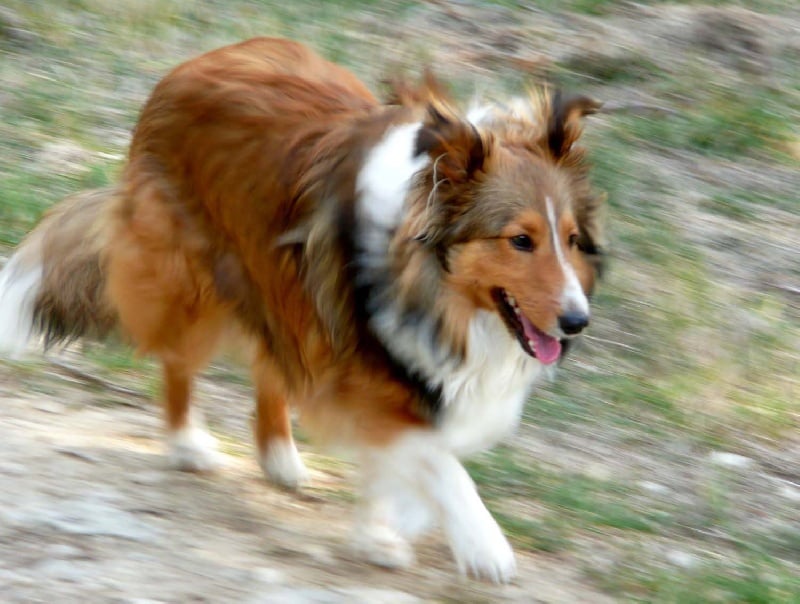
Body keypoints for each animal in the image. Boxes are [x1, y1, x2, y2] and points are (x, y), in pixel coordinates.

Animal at [0, 36, 608, 580]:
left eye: (572, 239)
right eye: (520, 240)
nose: (577, 322)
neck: (430, 280)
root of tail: (192, 65)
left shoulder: (392, 371)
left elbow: (405, 463)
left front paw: (381, 530)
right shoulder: (360, 374)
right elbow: (441, 463)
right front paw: (482, 545)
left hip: (284, 293)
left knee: (271, 365)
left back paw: (279, 458)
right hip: (193, 280)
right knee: (180, 361)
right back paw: (187, 443)